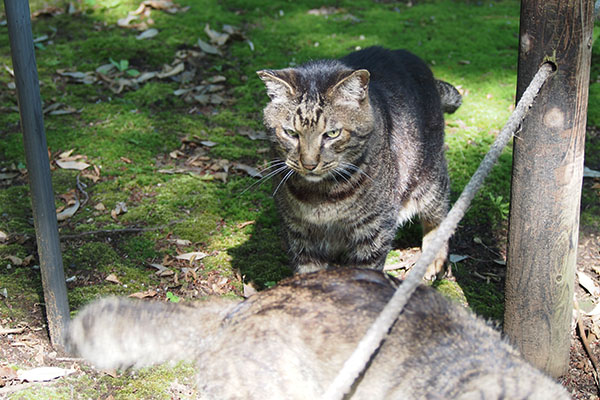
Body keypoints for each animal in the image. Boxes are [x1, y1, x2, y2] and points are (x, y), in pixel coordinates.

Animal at [255, 46, 462, 278]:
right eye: (291, 133)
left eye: (332, 134)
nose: (309, 164)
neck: (321, 196)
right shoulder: (298, 233)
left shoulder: (373, 230)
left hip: (430, 178)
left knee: (439, 216)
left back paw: (433, 259)